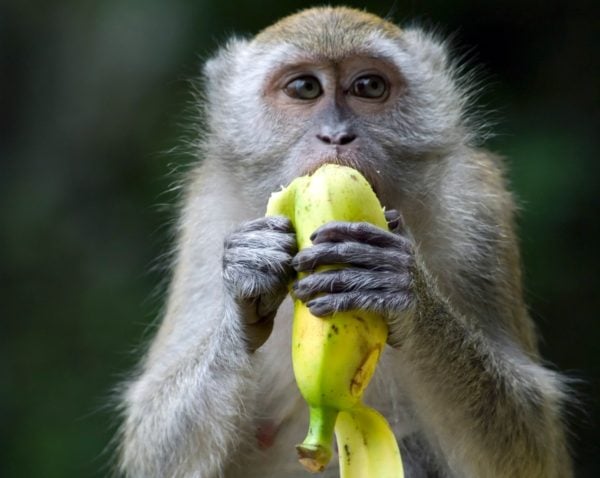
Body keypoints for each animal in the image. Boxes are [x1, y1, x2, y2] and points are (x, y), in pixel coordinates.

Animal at [117, 6, 572, 478]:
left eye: (369, 86)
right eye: (304, 88)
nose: (336, 135)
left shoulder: (478, 210)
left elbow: (532, 446)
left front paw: (399, 286)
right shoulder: (205, 216)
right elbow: (150, 440)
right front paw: (248, 279)